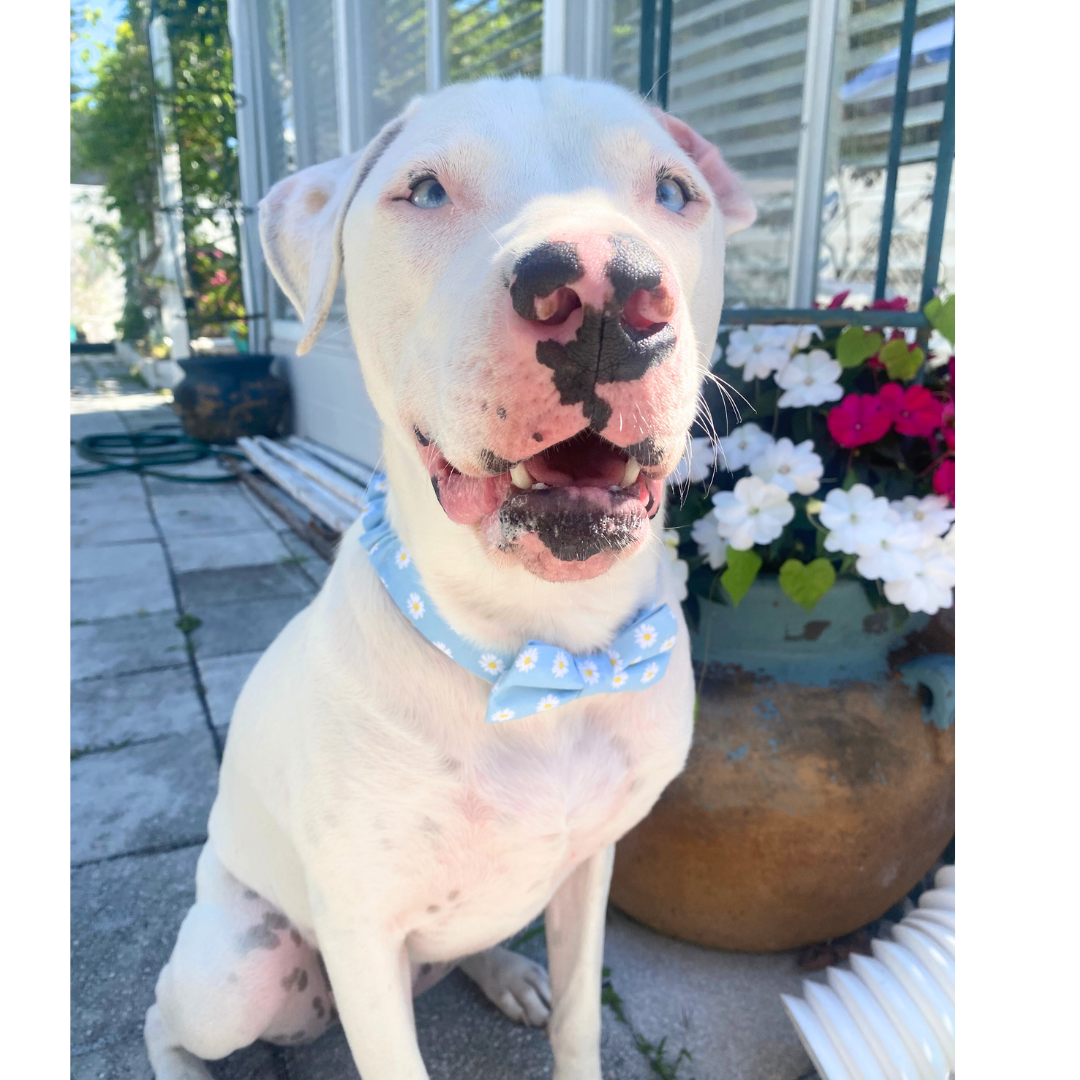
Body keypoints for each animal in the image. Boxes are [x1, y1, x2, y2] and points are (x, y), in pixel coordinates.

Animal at [141, 78, 751, 1080]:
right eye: (425, 191)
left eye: (672, 190)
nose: (604, 292)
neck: (540, 650)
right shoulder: (360, 936)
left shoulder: (589, 870)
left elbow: (579, 1020)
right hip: (242, 964)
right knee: (166, 1015)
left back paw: (505, 973)